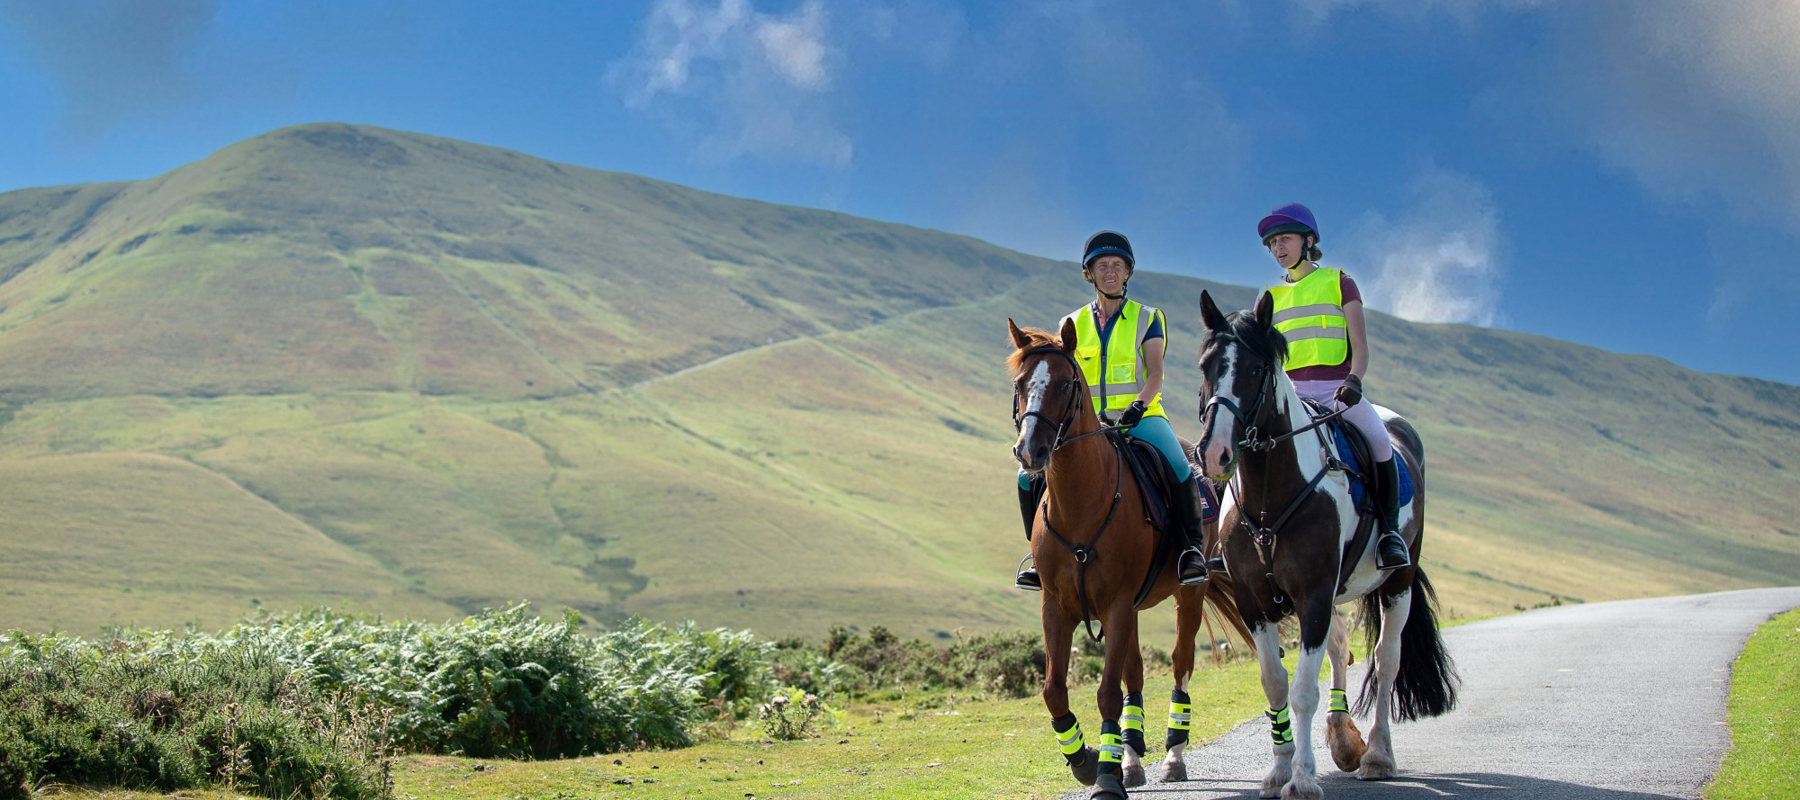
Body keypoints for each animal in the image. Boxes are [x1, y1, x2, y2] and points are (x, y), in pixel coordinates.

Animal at [1008, 317, 1250, 799]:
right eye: (1020, 384)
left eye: (1065, 384)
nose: (1030, 451)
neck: (1081, 502)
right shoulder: (1056, 606)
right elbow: (1054, 690)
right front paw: (1084, 759)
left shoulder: (1116, 604)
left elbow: (1106, 693)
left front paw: (1103, 775)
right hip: (1134, 607)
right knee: (1135, 675)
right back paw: (1134, 759)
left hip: (1187, 594)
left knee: (1180, 664)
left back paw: (1173, 756)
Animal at [1192, 290, 1458, 800]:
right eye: (1206, 366)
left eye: (1256, 370)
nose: (1214, 453)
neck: (1272, 494)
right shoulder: (1254, 601)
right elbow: (1274, 684)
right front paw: (1279, 769)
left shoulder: (1313, 596)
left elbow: (1301, 691)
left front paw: (1302, 777)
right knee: (1339, 649)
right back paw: (1343, 739)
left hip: (1398, 583)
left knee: (1386, 660)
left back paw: (1376, 755)